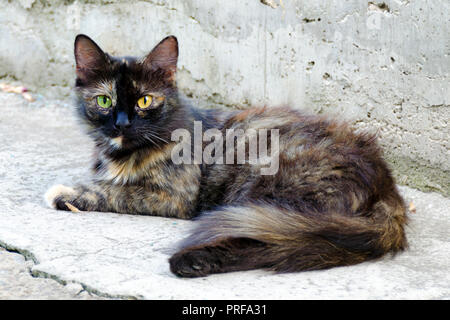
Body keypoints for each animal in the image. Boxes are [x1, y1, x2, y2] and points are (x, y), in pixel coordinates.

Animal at [44, 33, 408, 276]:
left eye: (144, 101)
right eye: (104, 101)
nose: (122, 123)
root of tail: (387, 187)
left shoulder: (175, 196)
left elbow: (114, 190)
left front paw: (66, 193)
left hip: (264, 190)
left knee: (267, 241)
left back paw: (189, 262)